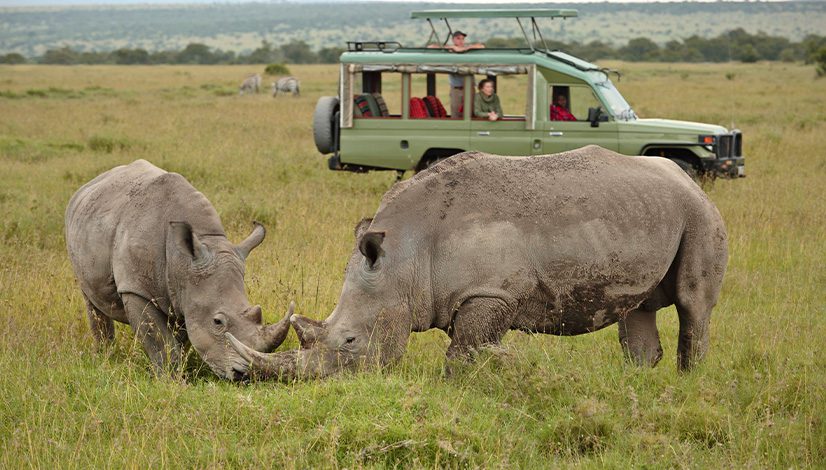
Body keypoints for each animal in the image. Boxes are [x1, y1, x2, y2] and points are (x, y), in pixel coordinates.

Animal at [65, 159, 290, 380]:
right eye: (217, 322)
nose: (247, 375)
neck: (182, 260)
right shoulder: (136, 289)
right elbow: (160, 341)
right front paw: (169, 379)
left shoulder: (187, 293)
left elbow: (181, 340)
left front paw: (177, 372)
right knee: (91, 300)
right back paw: (106, 357)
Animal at [229, 146, 728, 380]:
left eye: (350, 341)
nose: (323, 383)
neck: (405, 256)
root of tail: (688, 178)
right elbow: (465, 350)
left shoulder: (490, 292)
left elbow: (463, 353)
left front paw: (461, 388)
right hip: (650, 212)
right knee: (638, 309)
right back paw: (637, 383)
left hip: (699, 214)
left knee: (693, 305)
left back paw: (687, 381)